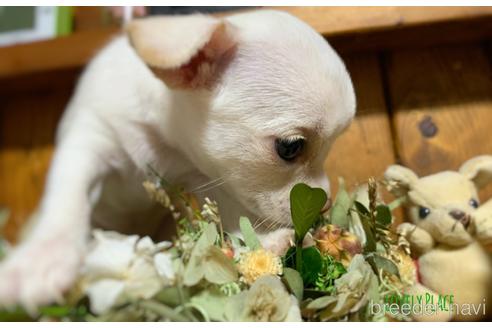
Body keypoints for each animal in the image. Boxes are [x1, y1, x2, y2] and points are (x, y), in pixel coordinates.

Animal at [0, 9, 354, 310]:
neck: (158, 139)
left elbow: (231, 213)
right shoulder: (87, 143)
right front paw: (45, 258)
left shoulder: (202, 176)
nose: (324, 204)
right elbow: (69, 197)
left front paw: (266, 241)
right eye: (290, 147)